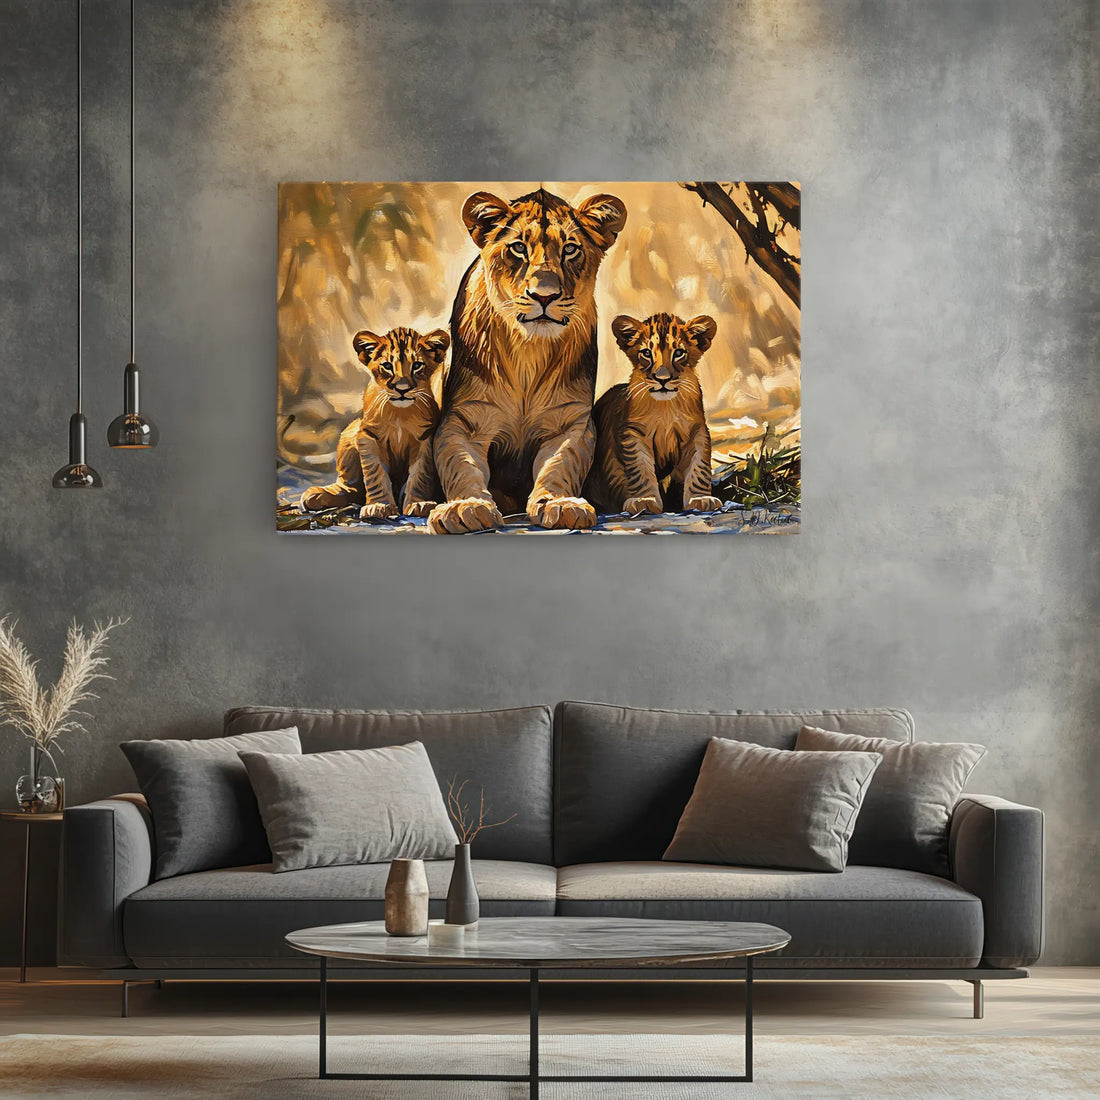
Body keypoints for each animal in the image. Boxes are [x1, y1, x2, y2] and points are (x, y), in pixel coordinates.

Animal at [300, 326, 449, 520]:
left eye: (417, 365)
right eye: (387, 366)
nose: (402, 389)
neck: (399, 413)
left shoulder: (425, 438)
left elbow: (420, 475)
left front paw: (418, 503)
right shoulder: (368, 435)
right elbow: (374, 474)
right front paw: (379, 505)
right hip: (350, 431)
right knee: (352, 487)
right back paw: (317, 495)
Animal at [428, 187, 627, 534]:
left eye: (570, 249)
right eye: (519, 247)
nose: (544, 295)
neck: (528, 350)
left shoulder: (571, 422)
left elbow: (559, 466)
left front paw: (561, 503)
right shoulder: (463, 422)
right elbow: (461, 466)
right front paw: (466, 507)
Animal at [583, 312, 723, 515]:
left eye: (678, 353)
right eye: (647, 353)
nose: (662, 379)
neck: (666, 408)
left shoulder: (697, 431)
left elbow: (699, 467)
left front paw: (700, 499)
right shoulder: (634, 433)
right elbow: (640, 469)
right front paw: (644, 501)